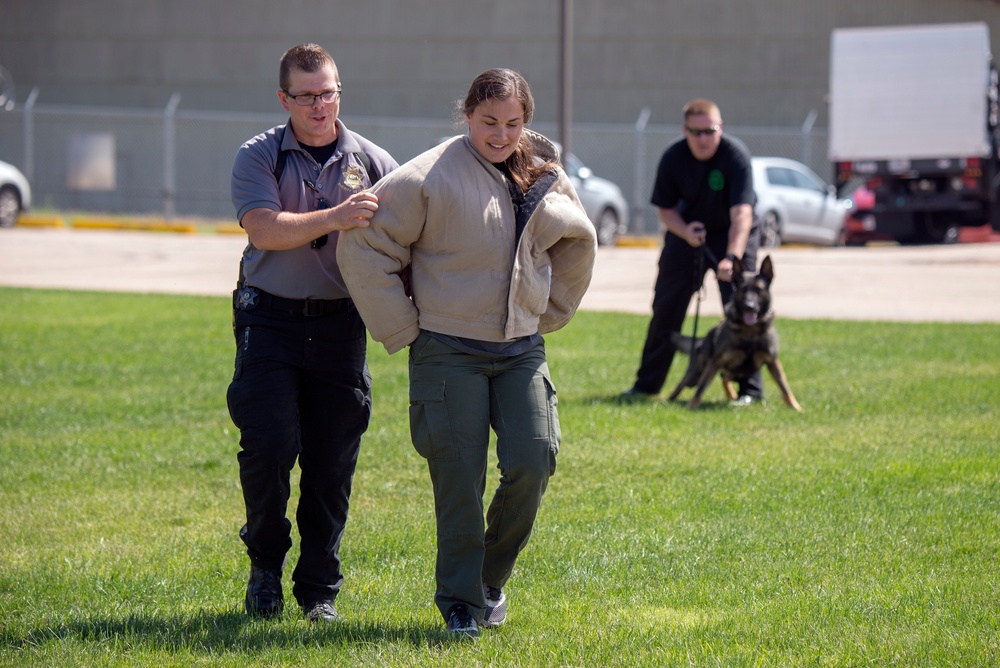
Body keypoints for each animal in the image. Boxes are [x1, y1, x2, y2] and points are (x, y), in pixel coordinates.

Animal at [668, 258, 800, 410]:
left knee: (724, 378)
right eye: (742, 289)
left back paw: (732, 395)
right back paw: (669, 400)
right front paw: (692, 405)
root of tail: (705, 338)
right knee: (686, 382)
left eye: (759, 289)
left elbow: (784, 386)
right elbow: (701, 388)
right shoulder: (715, 361)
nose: (749, 306)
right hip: (697, 372)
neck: (750, 331)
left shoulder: (773, 362)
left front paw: (796, 407)